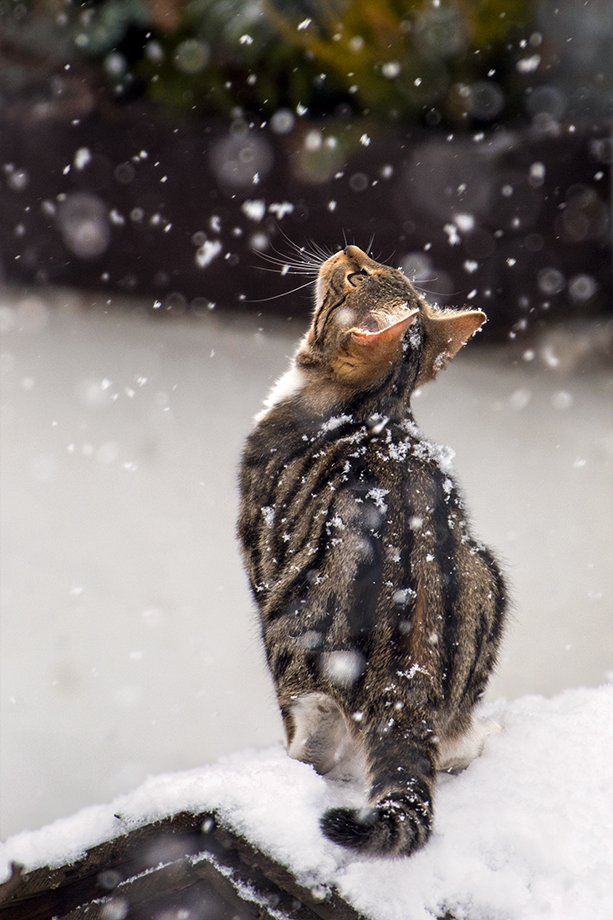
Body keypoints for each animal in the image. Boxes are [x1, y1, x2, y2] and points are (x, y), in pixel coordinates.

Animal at [237, 243, 504, 856]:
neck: (377, 407)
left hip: (290, 633)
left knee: (313, 738)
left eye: (357, 277)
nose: (349, 249)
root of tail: (406, 687)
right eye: (381, 269)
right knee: (451, 749)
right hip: (490, 579)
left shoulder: (259, 541)